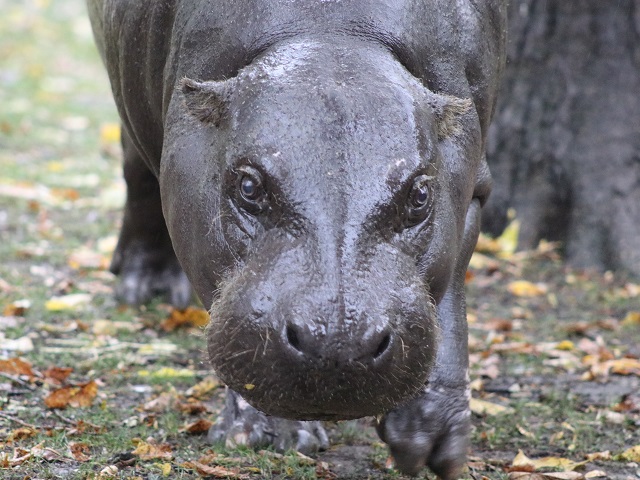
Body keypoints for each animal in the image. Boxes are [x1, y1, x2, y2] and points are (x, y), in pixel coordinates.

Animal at [87, 1, 506, 477]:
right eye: (248, 185)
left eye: (420, 194)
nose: (339, 343)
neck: (334, 33)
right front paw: (270, 435)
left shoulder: (472, 184)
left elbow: (450, 294)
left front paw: (432, 437)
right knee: (136, 171)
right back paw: (143, 287)